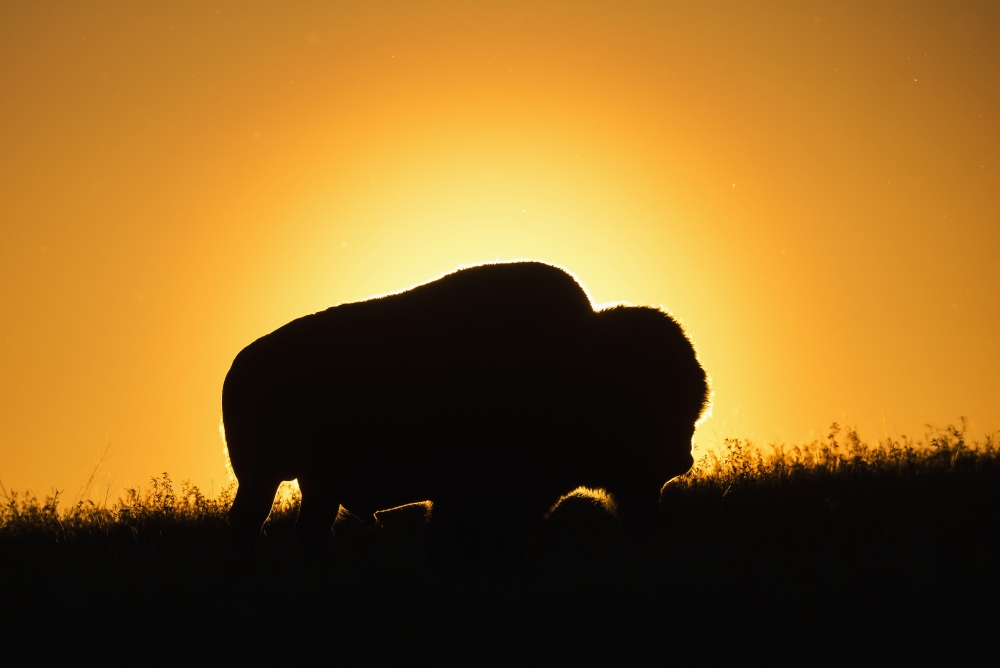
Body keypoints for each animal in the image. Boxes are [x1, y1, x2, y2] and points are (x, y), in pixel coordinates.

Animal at [222, 261, 709, 560]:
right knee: (252, 524)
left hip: (313, 485)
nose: (680, 458)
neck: (583, 364)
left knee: (304, 530)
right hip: (265, 478)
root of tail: (240, 366)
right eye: (650, 406)